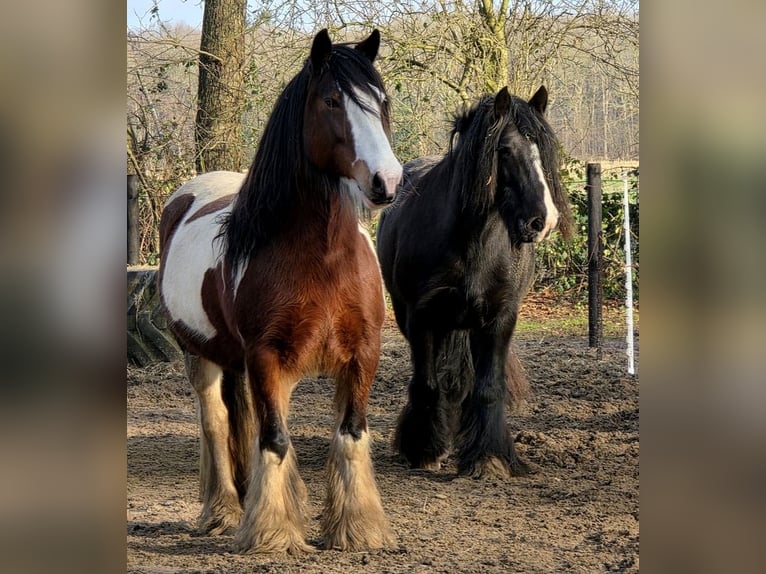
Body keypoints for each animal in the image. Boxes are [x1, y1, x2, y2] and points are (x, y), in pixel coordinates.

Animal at [157, 29, 402, 553]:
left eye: (381, 100)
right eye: (332, 101)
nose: (387, 182)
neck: (323, 259)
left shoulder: (362, 353)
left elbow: (350, 434)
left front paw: (358, 529)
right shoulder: (267, 358)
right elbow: (275, 439)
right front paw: (272, 533)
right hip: (199, 355)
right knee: (216, 423)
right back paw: (224, 511)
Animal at [376, 86, 572, 478]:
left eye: (542, 150)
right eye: (505, 150)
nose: (543, 220)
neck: (473, 242)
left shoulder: (499, 319)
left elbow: (487, 387)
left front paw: (489, 457)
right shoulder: (421, 319)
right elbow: (428, 383)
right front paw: (423, 449)